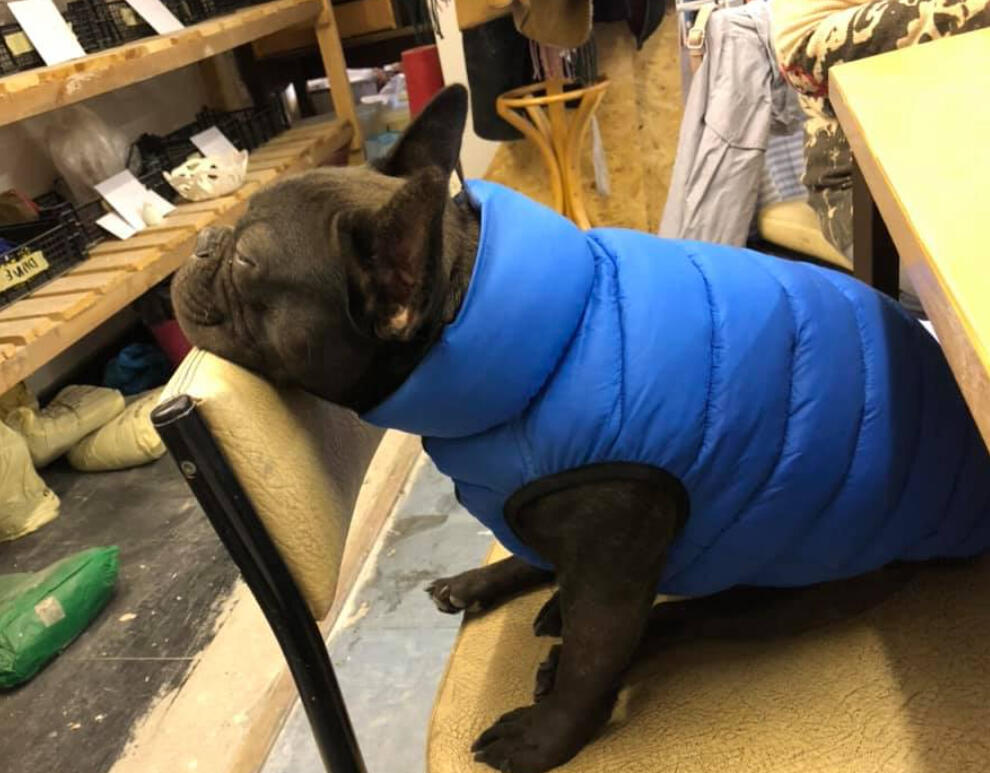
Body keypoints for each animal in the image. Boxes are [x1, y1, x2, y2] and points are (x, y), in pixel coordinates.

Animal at [172, 85, 990, 773]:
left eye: (247, 263)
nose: (205, 242)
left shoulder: (612, 564)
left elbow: (595, 660)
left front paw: (547, 736)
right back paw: (496, 585)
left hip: (782, 587)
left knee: (673, 624)